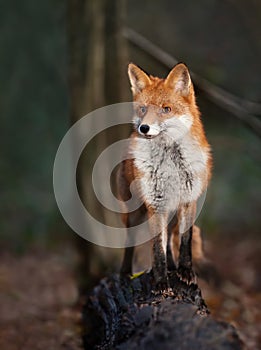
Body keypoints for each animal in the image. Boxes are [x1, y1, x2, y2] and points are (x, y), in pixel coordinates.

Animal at [117, 63, 210, 290]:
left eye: (166, 109)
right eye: (143, 109)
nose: (144, 128)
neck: (171, 164)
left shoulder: (188, 202)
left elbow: (184, 242)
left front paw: (185, 271)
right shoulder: (155, 204)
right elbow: (157, 248)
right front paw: (160, 281)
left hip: (172, 213)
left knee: (169, 240)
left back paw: (173, 267)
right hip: (134, 213)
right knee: (130, 241)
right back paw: (124, 273)